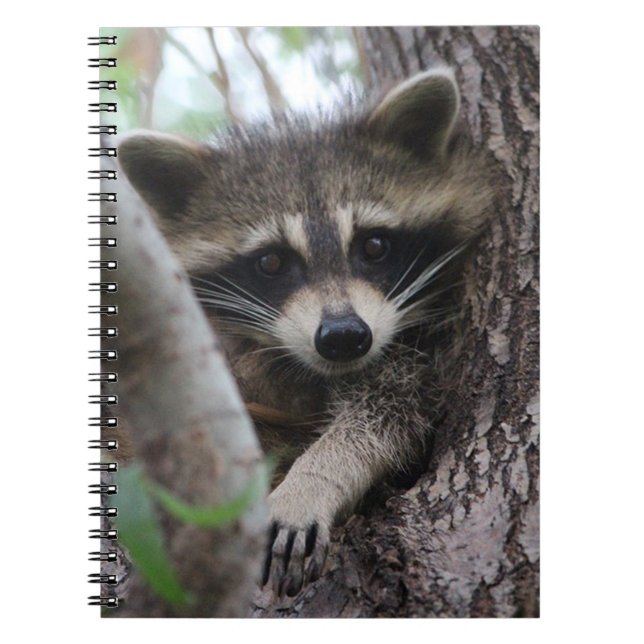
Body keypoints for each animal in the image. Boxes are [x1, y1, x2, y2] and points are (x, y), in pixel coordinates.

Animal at [117, 69, 492, 597]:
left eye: (374, 246)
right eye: (272, 262)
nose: (344, 336)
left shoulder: (423, 353)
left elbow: (387, 414)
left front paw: (313, 478)